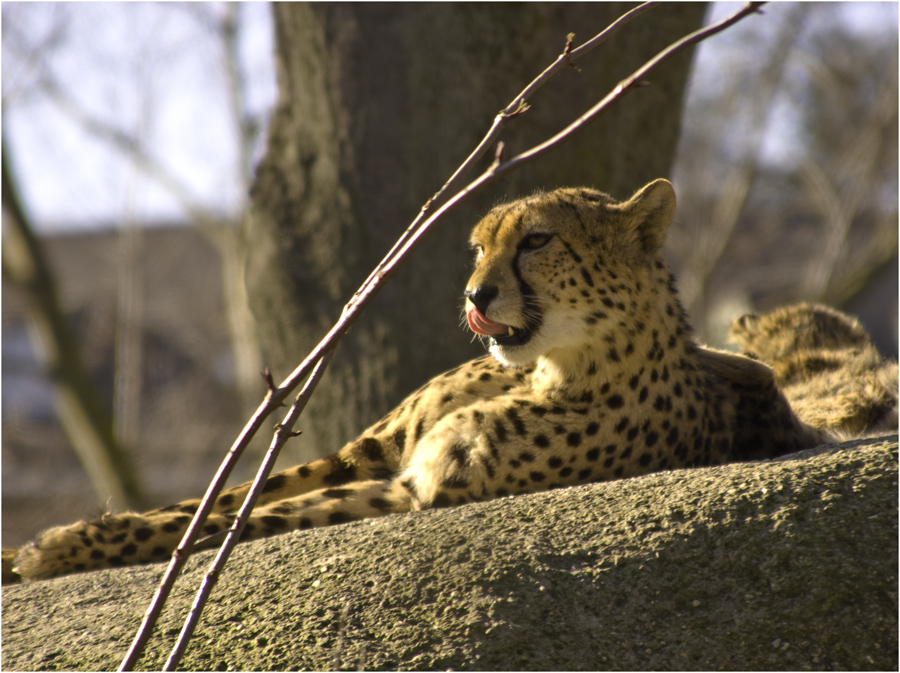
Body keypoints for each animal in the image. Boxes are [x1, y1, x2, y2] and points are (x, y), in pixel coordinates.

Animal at [10, 180, 828, 584]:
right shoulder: (370, 456)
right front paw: (73, 540)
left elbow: (245, 519)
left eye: (536, 241)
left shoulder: (417, 487)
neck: (551, 368)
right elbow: (219, 501)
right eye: (479, 247)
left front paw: (64, 551)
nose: (474, 294)